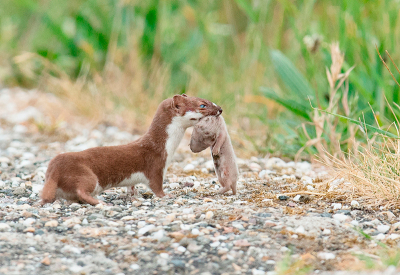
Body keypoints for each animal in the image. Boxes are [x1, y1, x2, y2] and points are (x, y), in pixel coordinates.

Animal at [41, 94, 223, 205]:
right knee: (81, 190)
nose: (220, 109)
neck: (167, 148)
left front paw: (132, 195)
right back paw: (99, 202)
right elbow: (156, 185)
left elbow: (132, 186)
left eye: (207, 100)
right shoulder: (156, 165)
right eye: (202, 105)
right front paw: (167, 195)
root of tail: (53, 169)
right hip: (86, 174)